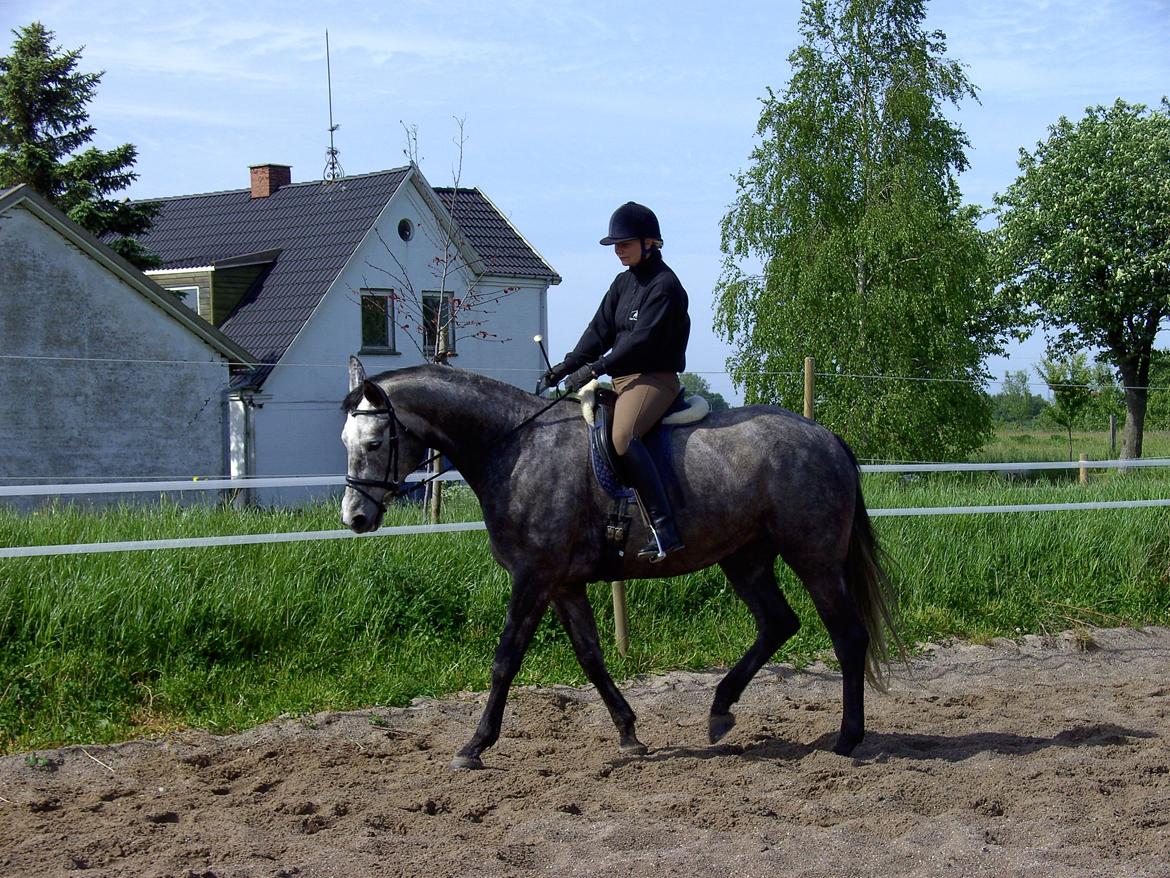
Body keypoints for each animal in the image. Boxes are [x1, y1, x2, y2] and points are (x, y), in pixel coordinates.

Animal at [339, 358, 893, 767]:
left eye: (374, 442)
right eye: (346, 442)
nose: (355, 517)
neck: (517, 447)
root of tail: (827, 438)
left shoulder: (533, 578)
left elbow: (505, 660)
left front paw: (474, 745)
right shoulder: (563, 584)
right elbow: (590, 657)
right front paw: (628, 732)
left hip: (814, 559)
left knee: (848, 637)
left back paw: (847, 739)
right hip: (745, 558)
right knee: (778, 623)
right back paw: (719, 711)